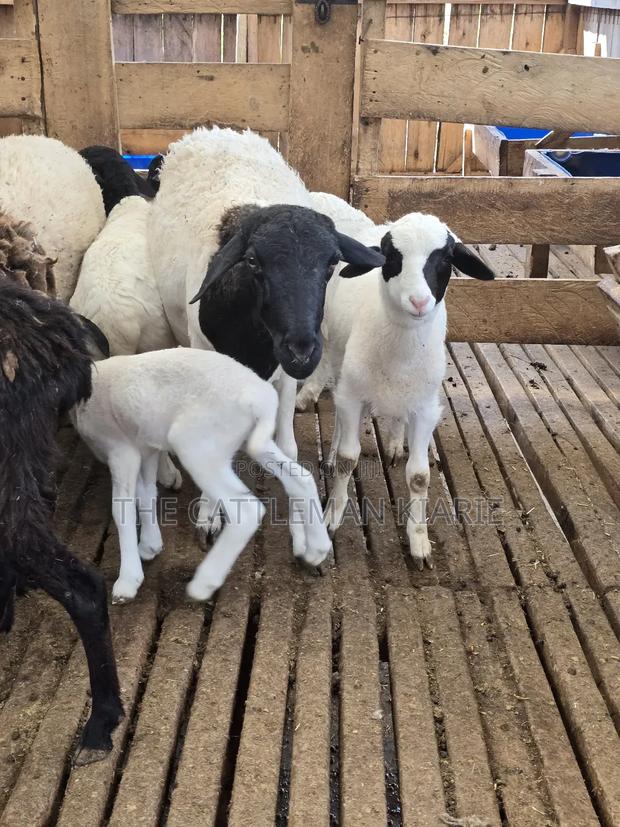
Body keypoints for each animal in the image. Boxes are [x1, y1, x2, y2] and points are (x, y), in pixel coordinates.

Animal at [71, 347, 332, 603]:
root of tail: (260, 400)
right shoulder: (146, 448)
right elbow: (146, 494)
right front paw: (149, 545)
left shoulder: (121, 450)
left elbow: (121, 509)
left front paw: (127, 581)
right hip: (251, 441)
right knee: (302, 479)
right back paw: (317, 549)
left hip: (197, 445)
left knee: (247, 511)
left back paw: (204, 583)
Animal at [149, 126, 384, 462]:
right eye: (251, 261)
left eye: (332, 263)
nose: (302, 352)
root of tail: (218, 131)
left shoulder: (285, 374)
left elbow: (287, 446)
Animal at [301, 211, 494, 569]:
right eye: (391, 257)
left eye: (445, 259)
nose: (419, 301)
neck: (401, 349)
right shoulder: (352, 395)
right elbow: (349, 459)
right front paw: (332, 515)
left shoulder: (426, 408)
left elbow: (419, 476)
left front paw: (419, 543)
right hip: (338, 355)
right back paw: (332, 453)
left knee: (398, 417)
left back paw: (392, 443)